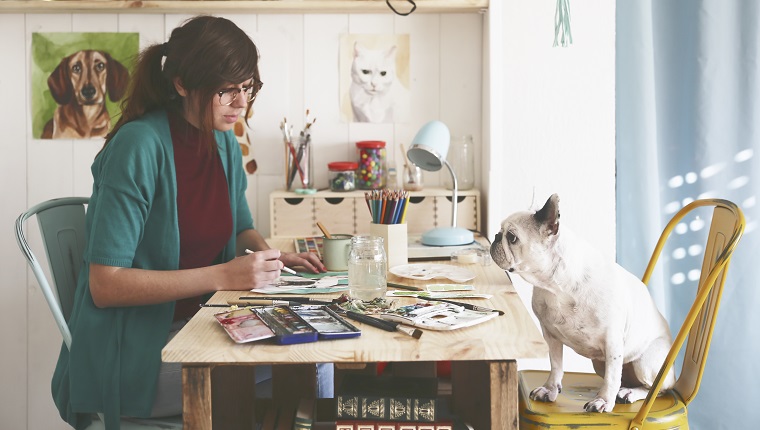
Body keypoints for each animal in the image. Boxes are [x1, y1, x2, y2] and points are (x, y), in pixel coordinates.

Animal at [490, 195, 672, 414]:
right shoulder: (550, 336)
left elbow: (612, 378)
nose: (496, 236)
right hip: (599, 364)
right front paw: (550, 388)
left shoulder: (612, 341)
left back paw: (630, 393)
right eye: (501, 232)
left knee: (656, 389)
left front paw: (603, 400)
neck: (556, 287)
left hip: (645, 364)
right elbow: (556, 365)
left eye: (512, 237)